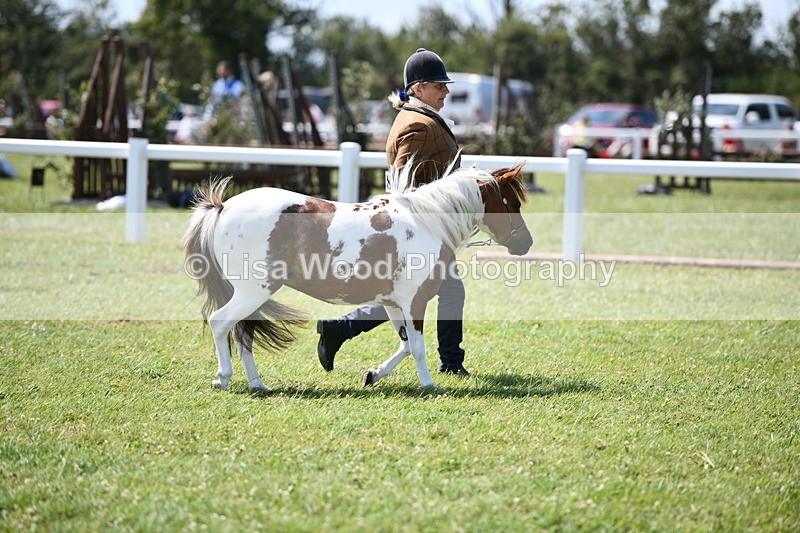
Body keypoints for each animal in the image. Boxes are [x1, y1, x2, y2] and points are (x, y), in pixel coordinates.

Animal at [183, 163, 533, 391]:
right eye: (513, 203)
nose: (526, 244)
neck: (427, 222)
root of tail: (223, 207)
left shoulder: (393, 304)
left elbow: (406, 346)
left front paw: (373, 375)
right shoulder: (414, 300)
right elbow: (418, 347)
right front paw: (429, 385)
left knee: (242, 333)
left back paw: (258, 384)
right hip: (253, 291)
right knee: (221, 323)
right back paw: (223, 378)